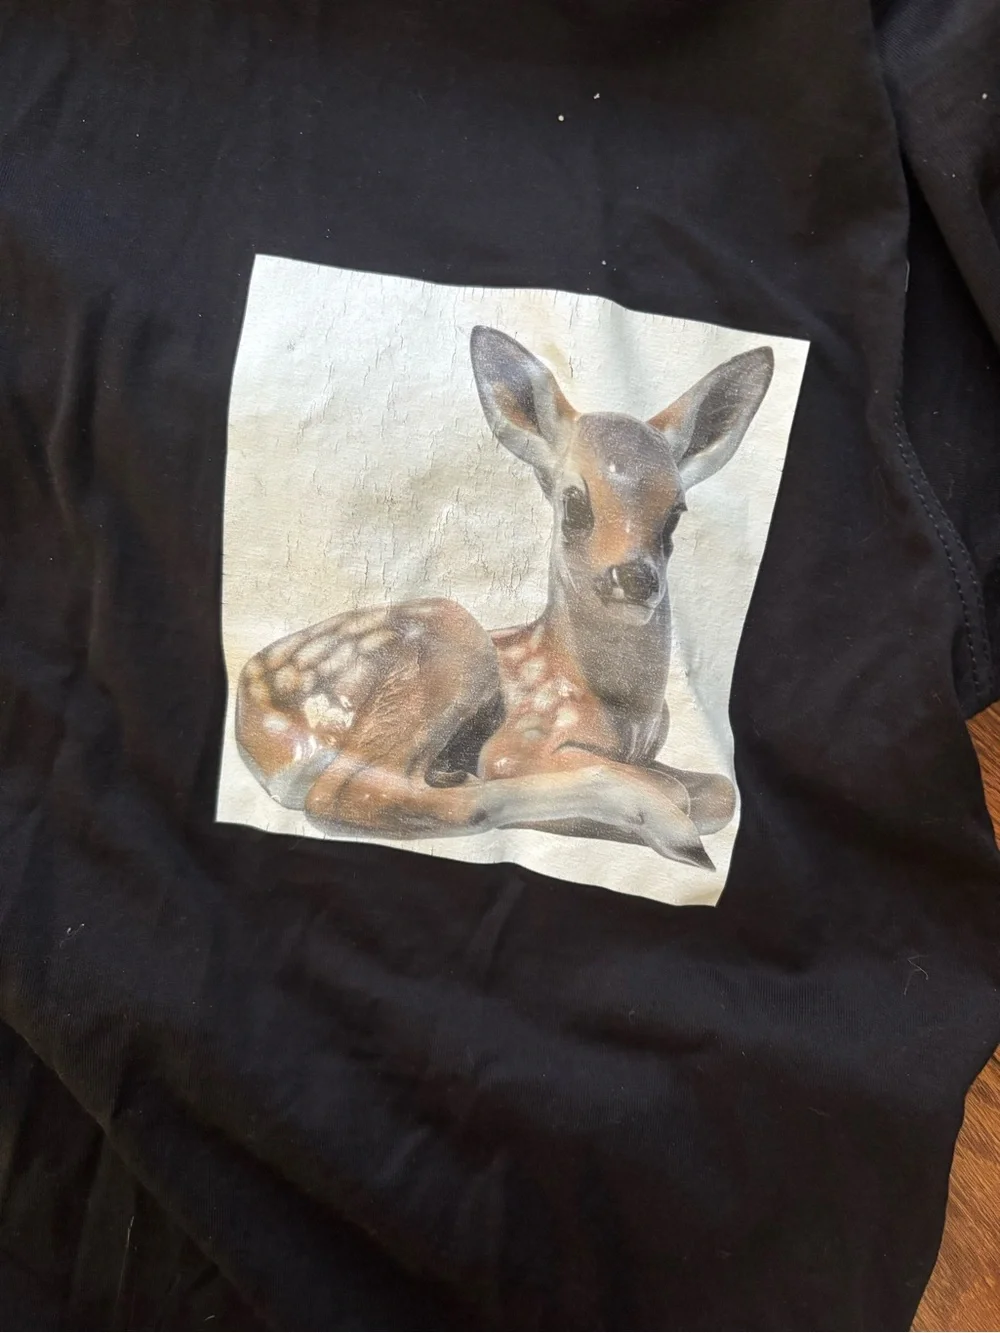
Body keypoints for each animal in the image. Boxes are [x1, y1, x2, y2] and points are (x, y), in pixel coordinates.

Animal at [235, 326, 773, 869]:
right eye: (575, 503)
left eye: (675, 513)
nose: (636, 578)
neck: (625, 714)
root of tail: (257, 720)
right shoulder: (523, 741)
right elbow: (675, 790)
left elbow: (720, 790)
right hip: (452, 643)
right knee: (349, 792)